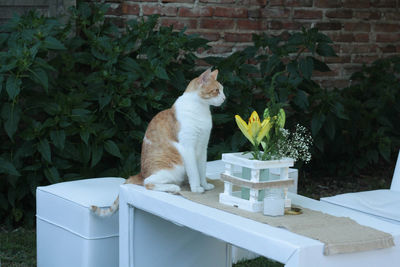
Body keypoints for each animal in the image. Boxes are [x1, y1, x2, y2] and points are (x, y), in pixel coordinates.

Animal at [92, 68, 227, 217]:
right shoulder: (188, 148)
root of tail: (140, 174)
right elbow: (194, 172)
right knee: (148, 183)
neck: (201, 109)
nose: (224, 98)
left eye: (222, 90)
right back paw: (173, 187)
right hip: (174, 168)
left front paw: (205, 185)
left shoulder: (203, 148)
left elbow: (202, 170)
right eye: (216, 90)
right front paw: (197, 188)